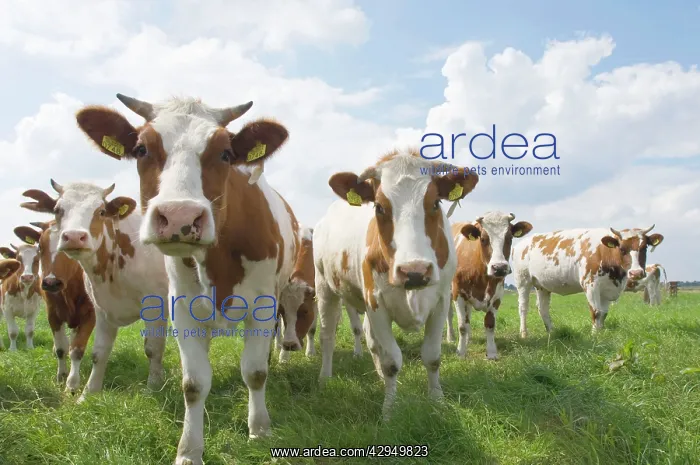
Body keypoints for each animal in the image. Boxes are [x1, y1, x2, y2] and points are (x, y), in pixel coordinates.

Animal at [13, 222, 97, 392]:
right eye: (40, 247)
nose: (51, 282)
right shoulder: (52, 315)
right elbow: (61, 348)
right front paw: (61, 376)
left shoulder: (90, 315)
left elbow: (77, 349)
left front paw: (72, 385)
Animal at [74, 93, 299, 465]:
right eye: (141, 149)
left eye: (225, 153)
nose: (180, 216)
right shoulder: (182, 308)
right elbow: (193, 383)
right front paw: (189, 450)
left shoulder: (263, 305)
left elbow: (255, 372)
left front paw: (260, 428)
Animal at [313, 149, 479, 419]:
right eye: (379, 207)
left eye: (435, 203)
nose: (414, 271)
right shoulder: (376, 302)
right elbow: (392, 361)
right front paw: (389, 411)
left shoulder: (441, 300)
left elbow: (432, 356)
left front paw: (437, 401)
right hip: (325, 288)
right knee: (328, 336)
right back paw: (324, 378)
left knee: (371, 341)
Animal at [445, 212, 533, 360]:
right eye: (483, 239)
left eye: (509, 237)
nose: (499, 268)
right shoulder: (458, 294)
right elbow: (462, 325)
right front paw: (461, 352)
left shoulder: (497, 296)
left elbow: (490, 324)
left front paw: (491, 353)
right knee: (450, 315)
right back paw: (450, 337)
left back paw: (468, 339)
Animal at [512, 225, 664, 336]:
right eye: (621, 248)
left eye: (644, 247)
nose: (636, 272)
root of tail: (522, 243)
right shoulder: (591, 285)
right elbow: (596, 311)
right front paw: (594, 335)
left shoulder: (607, 289)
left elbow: (603, 313)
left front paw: (601, 333)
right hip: (523, 281)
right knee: (523, 307)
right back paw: (524, 333)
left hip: (542, 286)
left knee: (542, 308)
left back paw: (551, 332)